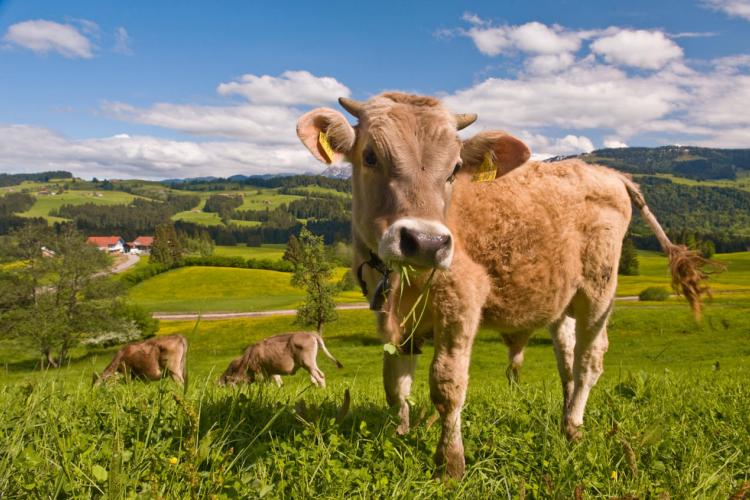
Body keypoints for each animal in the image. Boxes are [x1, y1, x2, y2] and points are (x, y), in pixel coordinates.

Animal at [296, 92, 712, 478]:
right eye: (369, 157)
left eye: (455, 169)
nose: (426, 242)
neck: (402, 283)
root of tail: (609, 172)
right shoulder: (394, 318)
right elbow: (396, 383)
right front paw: (400, 436)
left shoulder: (461, 302)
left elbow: (447, 385)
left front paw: (450, 465)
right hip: (561, 298)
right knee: (567, 359)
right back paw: (564, 421)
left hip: (599, 290)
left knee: (589, 361)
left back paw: (575, 427)